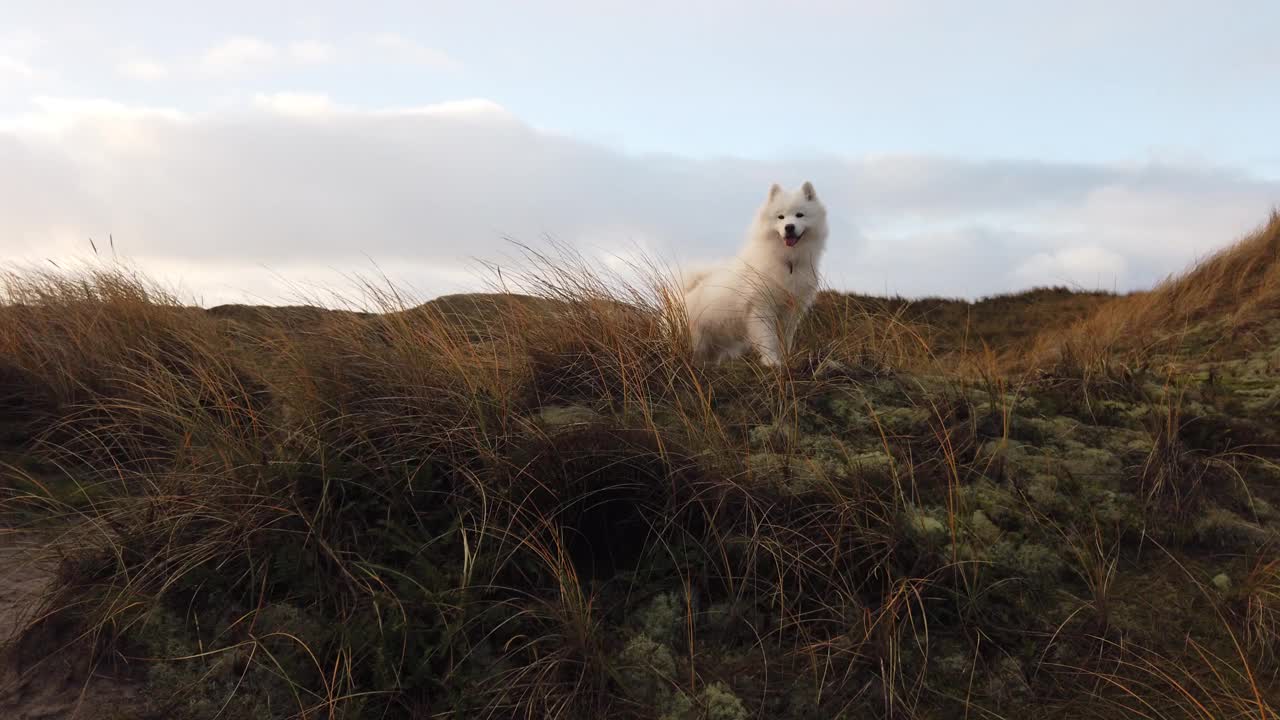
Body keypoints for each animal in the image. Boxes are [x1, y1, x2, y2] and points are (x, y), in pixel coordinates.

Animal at [680, 180, 829, 363]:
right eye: (780, 217)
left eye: (800, 215)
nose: (789, 227)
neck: (787, 261)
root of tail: (688, 291)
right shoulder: (760, 308)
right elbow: (768, 339)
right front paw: (771, 361)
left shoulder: (790, 311)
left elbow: (785, 340)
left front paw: (785, 358)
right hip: (695, 339)